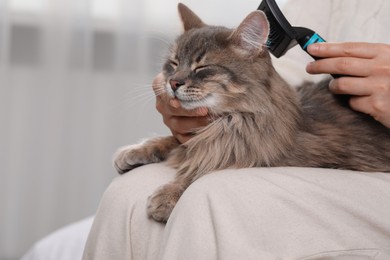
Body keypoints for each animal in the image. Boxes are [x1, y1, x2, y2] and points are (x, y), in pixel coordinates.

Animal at [113, 3, 390, 222]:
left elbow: (206, 165)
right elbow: (176, 141)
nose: (173, 83)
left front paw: (169, 195)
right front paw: (136, 150)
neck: (227, 120)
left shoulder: (251, 151)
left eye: (202, 67)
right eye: (173, 64)